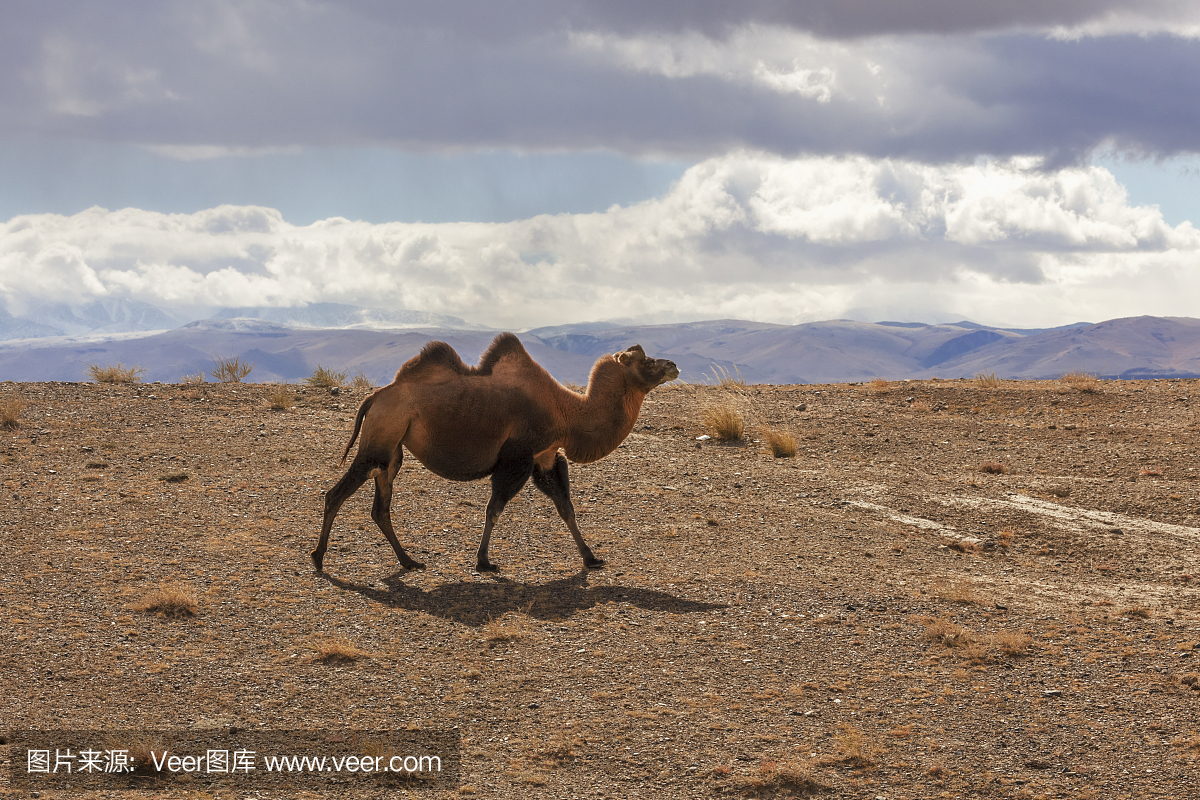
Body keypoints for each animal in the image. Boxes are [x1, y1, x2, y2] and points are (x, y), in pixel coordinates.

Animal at [314, 333, 681, 575]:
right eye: (646, 361)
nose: (673, 365)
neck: (566, 412)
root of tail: (374, 397)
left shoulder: (545, 457)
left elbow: (566, 508)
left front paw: (591, 558)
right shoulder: (517, 459)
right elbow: (495, 509)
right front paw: (484, 561)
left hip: (392, 450)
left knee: (381, 506)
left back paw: (409, 561)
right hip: (380, 439)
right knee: (337, 493)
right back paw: (318, 558)